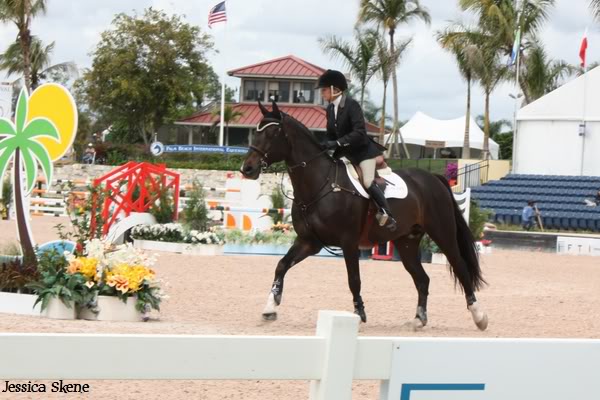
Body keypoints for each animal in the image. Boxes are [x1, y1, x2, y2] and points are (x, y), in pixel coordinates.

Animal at [240, 101, 488, 330]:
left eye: (272, 133)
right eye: (256, 131)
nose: (247, 169)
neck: (320, 184)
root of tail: (432, 178)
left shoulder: (348, 242)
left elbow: (354, 279)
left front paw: (359, 314)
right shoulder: (309, 242)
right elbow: (281, 265)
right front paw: (270, 308)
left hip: (442, 233)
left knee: (460, 267)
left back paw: (479, 316)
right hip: (406, 241)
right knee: (421, 278)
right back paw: (419, 319)